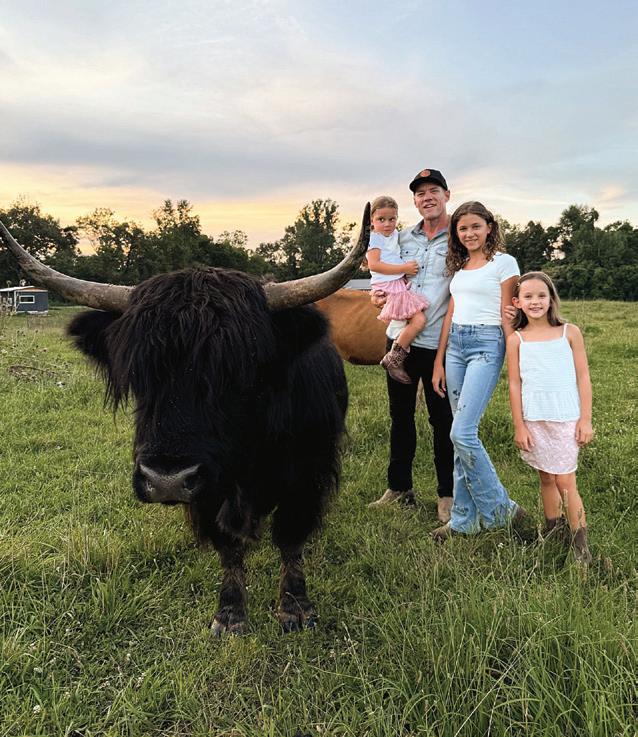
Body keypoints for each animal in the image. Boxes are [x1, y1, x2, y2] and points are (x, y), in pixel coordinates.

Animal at [0, 209, 369, 634]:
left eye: (238, 371)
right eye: (139, 374)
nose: (166, 480)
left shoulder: (308, 474)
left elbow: (291, 538)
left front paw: (295, 607)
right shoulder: (209, 491)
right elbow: (228, 545)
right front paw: (230, 613)